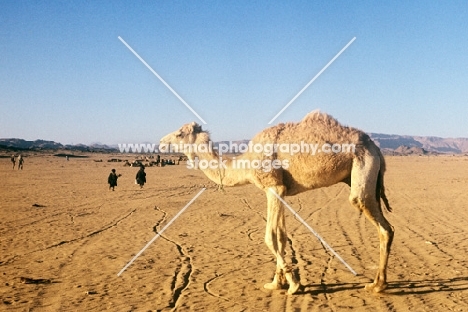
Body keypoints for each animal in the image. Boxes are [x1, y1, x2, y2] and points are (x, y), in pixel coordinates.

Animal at [159, 111, 394, 294]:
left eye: (179, 133)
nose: (161, 143)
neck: (245, 164)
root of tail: (376, 149)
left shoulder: (274, 186)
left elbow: (269, 238)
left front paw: (293, 284)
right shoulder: (280, 191)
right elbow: (281, 237)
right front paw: (276, 283)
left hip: (363, 166)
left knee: (381, 224)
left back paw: (377, 285)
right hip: (363, 178)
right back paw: (377, 282)